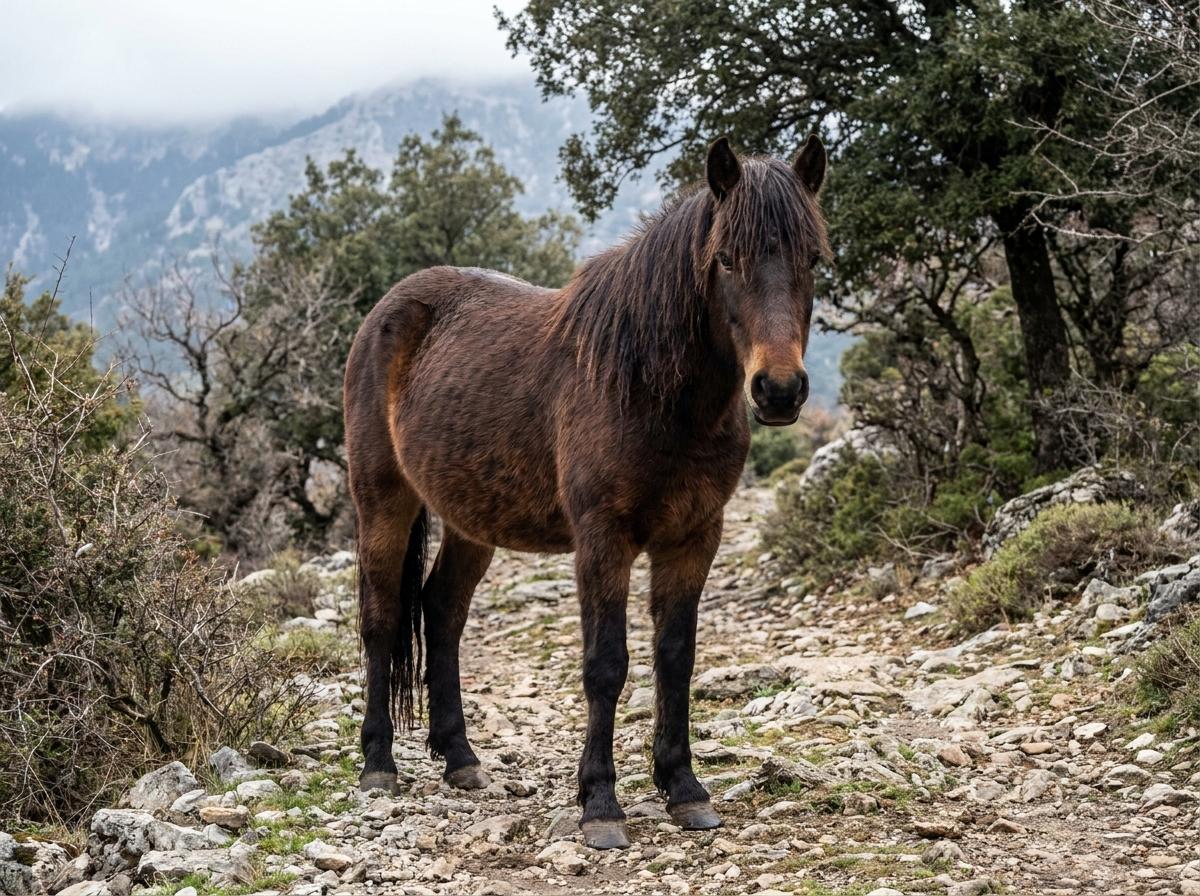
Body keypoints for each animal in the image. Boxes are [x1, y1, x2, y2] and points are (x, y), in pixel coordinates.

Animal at [343, 135, 829, 849]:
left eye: (812, 259)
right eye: (726, 259)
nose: (779, 390)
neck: (648, 387)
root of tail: (388, 308)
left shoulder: (694, 537)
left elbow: (675, 659)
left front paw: (685, 790)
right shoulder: (603, 540)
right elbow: (607, 664)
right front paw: (600, 803)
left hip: (471, 521)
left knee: (442, 610)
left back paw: (460, 758)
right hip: (383, 501)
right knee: (380, 618)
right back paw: (378, 764)